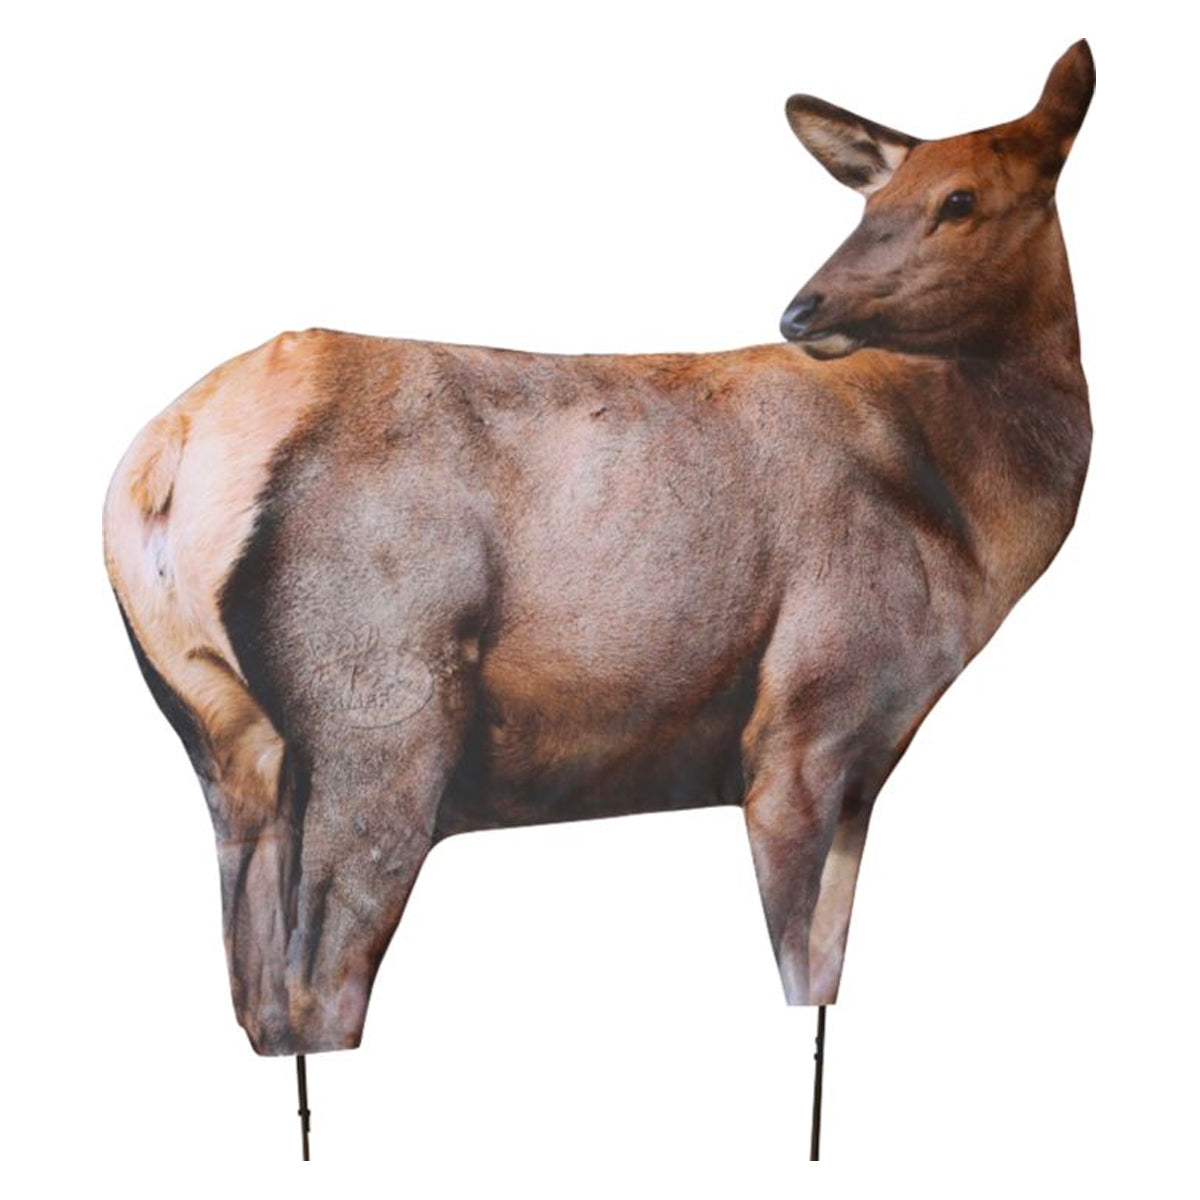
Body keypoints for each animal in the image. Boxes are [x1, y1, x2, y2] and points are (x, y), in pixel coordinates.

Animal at [104, 42, 1094, 1065]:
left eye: (959, 199)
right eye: (876, 201)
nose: (803, 309)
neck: (969, 529)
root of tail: (165, 458)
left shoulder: (864, 762)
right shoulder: (803, 723)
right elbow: (800, 973)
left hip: (220, 738)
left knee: (256, 996)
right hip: (379, 711)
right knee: (318, 988)